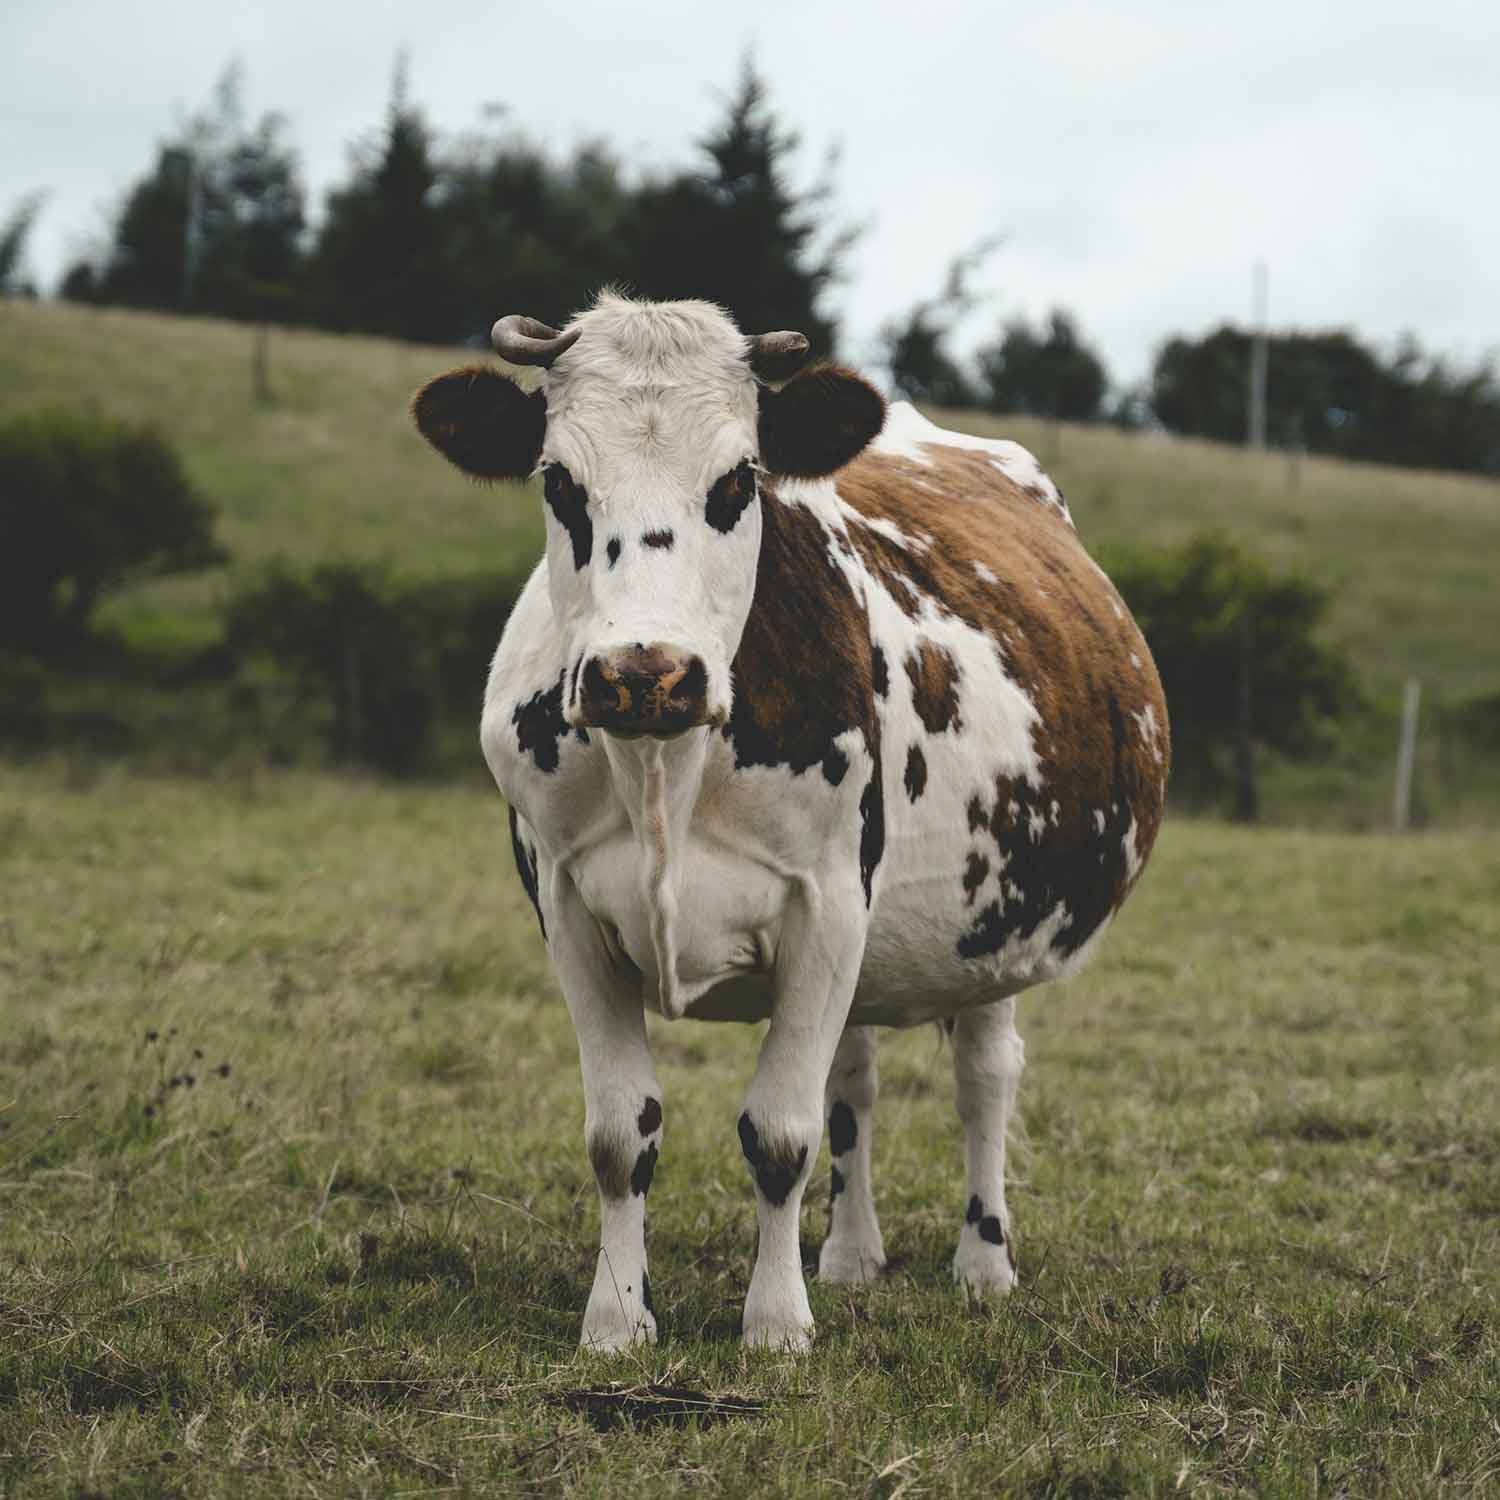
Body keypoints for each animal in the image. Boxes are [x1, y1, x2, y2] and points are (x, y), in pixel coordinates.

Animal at [414, 295, 1170, 1362]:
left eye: (737, 481)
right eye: (560, 481)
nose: (644, 673)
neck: (666, 766)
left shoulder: (829, 907)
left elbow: (779, 1134)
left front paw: (774, 1322)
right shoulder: (566, 908)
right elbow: (620, 1134)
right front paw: (618, 1318)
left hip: (997, 928)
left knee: (984, 1077)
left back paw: (983, 1264)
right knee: (854, 1078)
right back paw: (850, 1255)